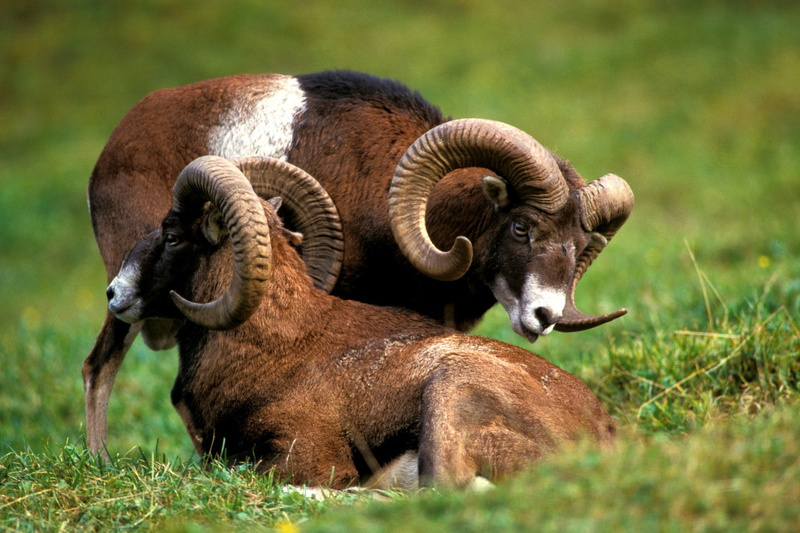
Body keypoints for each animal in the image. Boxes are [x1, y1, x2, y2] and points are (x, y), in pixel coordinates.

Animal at [84, 70, 633, 454]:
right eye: (522, 227)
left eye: (579, 243)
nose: (545, 315)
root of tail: (115, 146)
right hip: (130, 303)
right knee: (98, 366)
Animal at [106, 155, 616, 489]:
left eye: (172, 235)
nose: (114, 293)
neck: (271, 346)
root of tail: (602, 434)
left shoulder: (309, 457)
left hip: (449, 393)